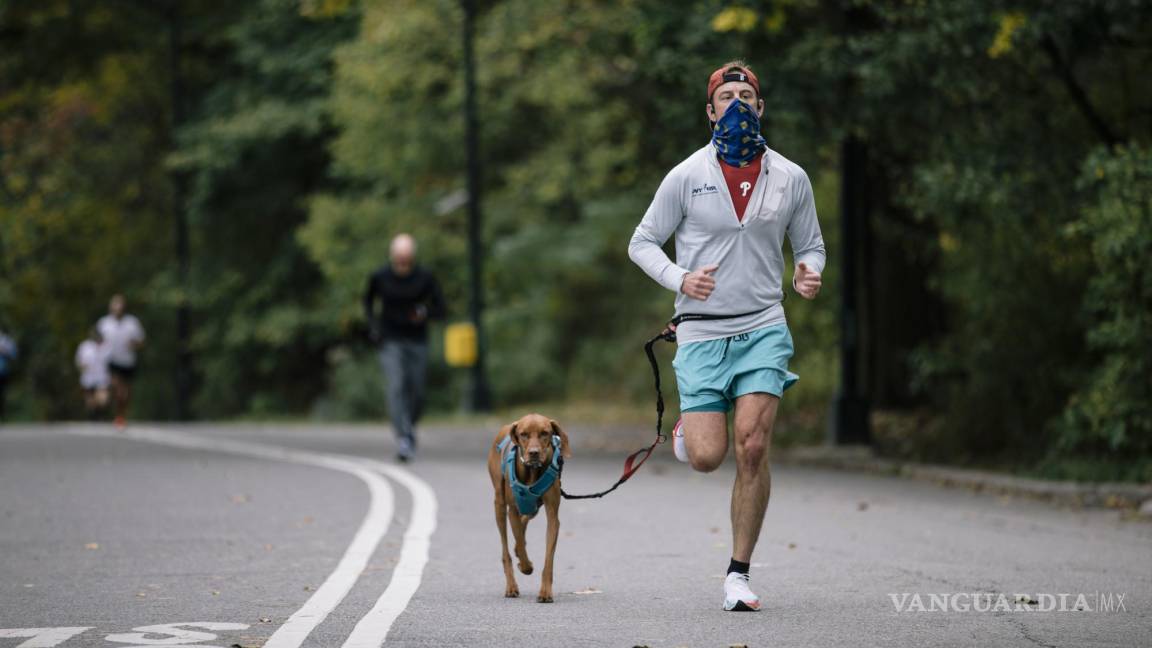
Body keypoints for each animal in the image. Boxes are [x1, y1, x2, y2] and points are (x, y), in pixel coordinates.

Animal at [488, 412, 573, 599]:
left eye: (545, 433)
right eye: (524, 434)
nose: (534, 453)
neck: (532, 472)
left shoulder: (552, 515)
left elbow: (548, 558)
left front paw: (546, 591)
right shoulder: (512, 510)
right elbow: (519, 539)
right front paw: (526, 566)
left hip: (535, 507)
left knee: (526, 517)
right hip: (499, 504)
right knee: (506, 548)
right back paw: (511, 585)